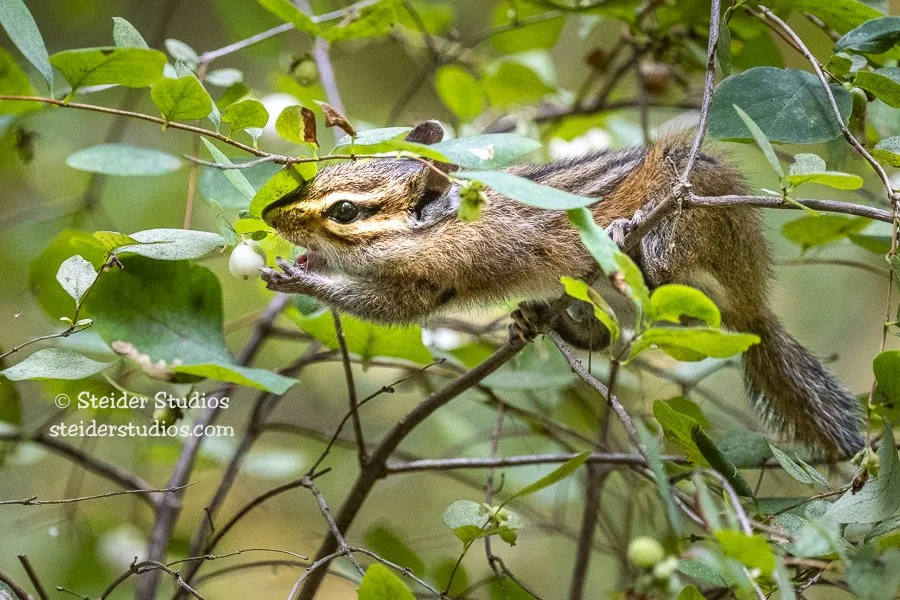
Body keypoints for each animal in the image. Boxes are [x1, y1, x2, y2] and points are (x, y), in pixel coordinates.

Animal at [260, 120, 863, 458]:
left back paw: (637, 239)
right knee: (608, 337)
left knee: (676, 271)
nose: (269, 215)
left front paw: (300, 278)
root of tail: (754, 306)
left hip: (696, 200)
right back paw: (549, 320)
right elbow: (390, 307)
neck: (456, 222)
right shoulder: (427, 287)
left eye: (343, 211)